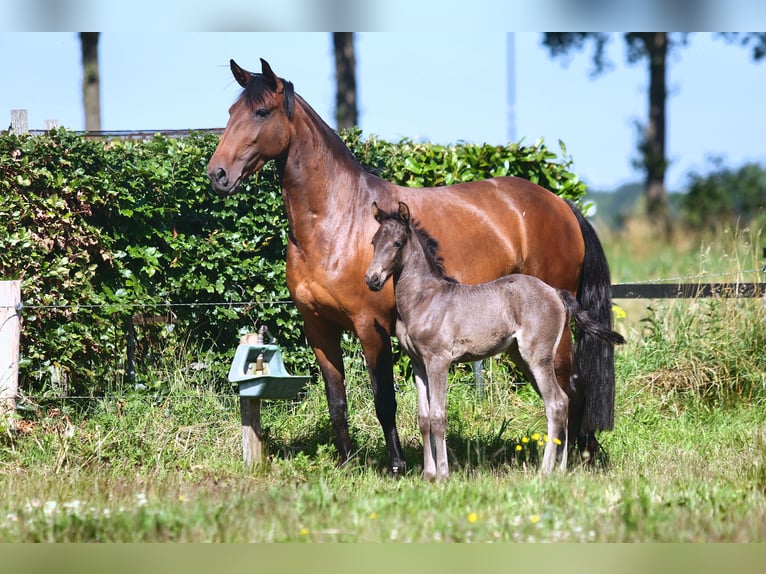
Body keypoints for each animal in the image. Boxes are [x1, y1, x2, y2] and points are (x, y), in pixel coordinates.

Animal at [364, 202, 624, 482]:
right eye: (374, 241)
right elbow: (423, 418)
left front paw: (443, 474)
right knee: (562, 401)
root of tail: (556, 292)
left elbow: (437, 417)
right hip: (521, 356)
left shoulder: (438, 361)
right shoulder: (419, 364)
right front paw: (427, 474)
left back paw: (547, 470)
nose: (372, 279)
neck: (423, 298)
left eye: (398, 243)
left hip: (539, 356)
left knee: (556, 403)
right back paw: (560, 468)